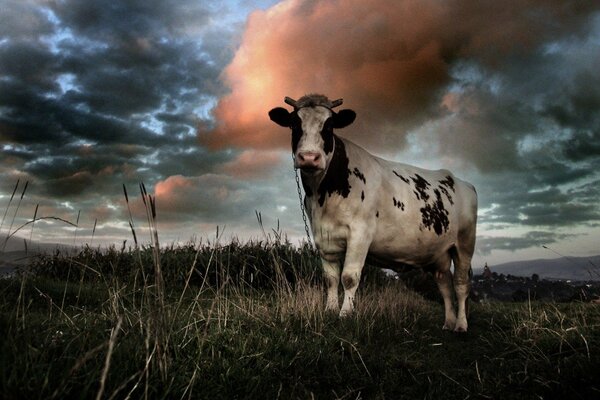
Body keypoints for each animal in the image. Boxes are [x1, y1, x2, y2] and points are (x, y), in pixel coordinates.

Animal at [268, 94, 478, 332]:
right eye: (294, 123)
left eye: (329, 126)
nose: (309, 157)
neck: (322, 195)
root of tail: (462, 182)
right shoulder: (323, 237)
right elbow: (330, 279)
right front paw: (329, 310)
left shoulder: (361, 232)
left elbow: (349, 277)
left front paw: (345, 314)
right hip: (439, 253)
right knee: (445, 285)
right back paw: (448, 323)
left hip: (465, 243)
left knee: (461, 284)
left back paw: (461, 325)